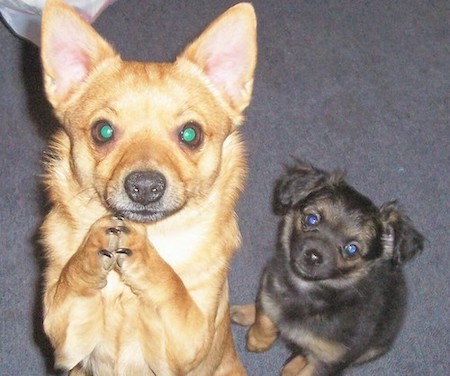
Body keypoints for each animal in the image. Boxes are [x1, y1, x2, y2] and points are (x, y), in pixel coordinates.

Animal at [39, 1, 256, 374]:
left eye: (190, 134)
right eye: (103, 131)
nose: (144, 185)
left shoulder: (187, 341)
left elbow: (171, 287)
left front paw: (143, 254)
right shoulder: (66, 341)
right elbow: (71, 280)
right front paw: (92, 246)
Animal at [232, 161, 426, 376]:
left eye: (352, 249)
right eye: (311, 219)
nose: (313, 255)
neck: (307, 291)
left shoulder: (329, 361)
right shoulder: (270, 284)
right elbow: (266, 316)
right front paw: (258, 339)